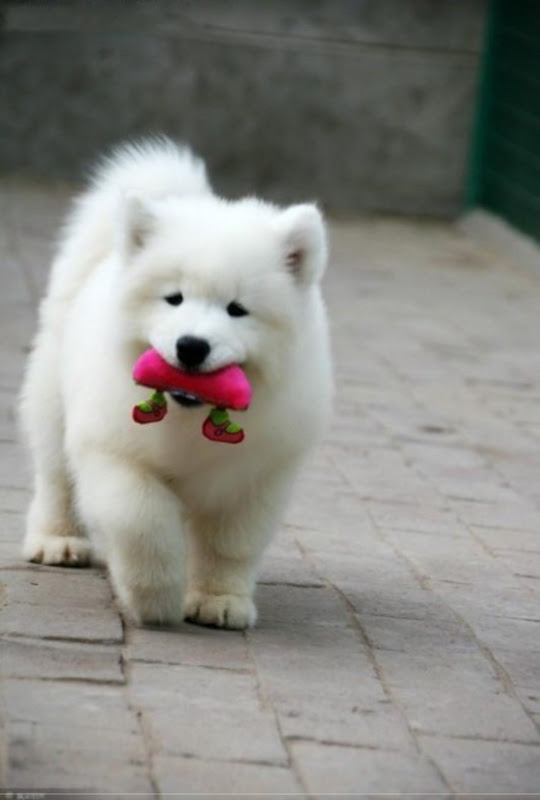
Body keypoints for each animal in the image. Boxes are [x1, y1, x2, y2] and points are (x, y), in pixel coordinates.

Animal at [21, 139, 332, 632]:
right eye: (174, 298)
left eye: (236, 309)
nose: (191, 346)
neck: (192, 416)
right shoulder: (114, 451)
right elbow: (142, 519)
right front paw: (155, 597)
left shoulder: (257, 474)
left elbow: (231, 544)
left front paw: (219, 601)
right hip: (53, 405)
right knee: (55, 478)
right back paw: (58, 542)